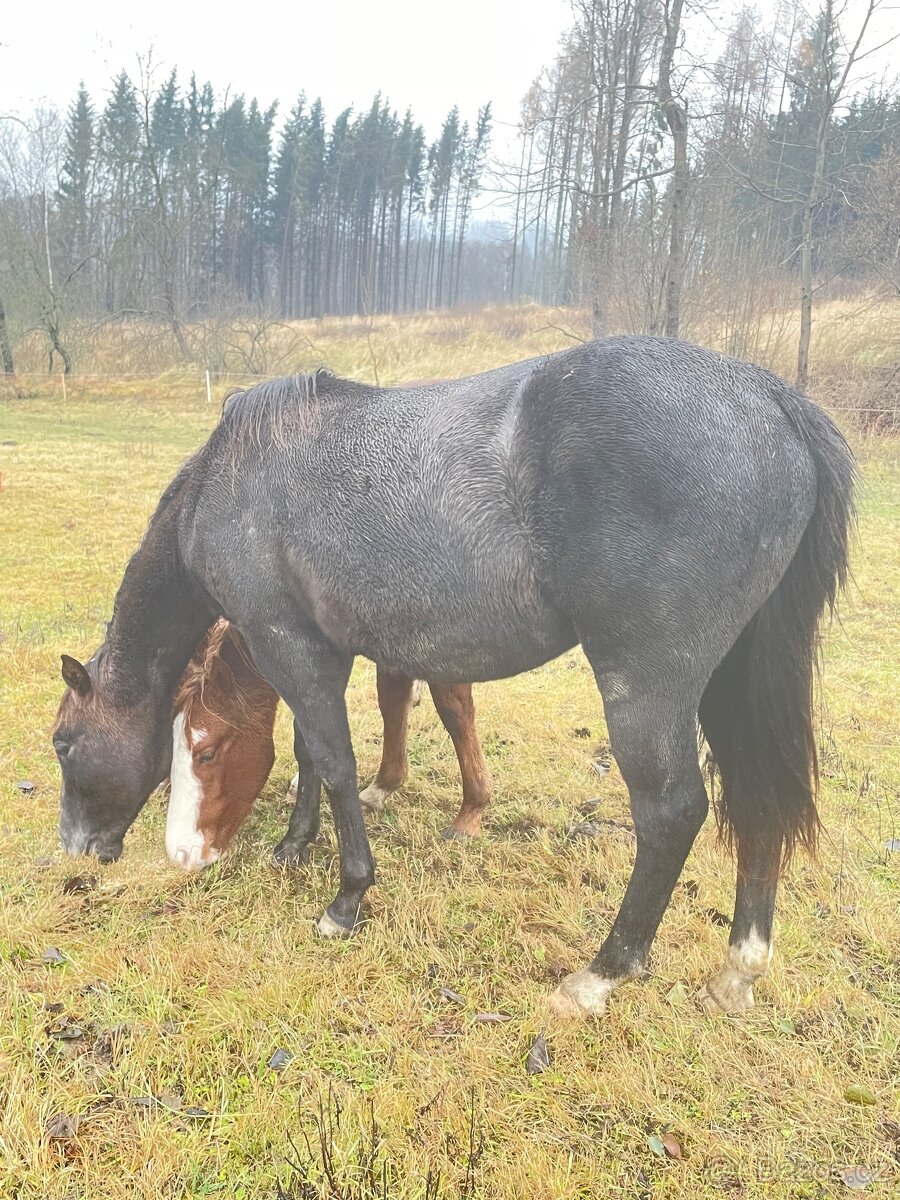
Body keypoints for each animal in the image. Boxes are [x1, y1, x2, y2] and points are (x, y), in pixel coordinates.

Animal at [166, 620, 491, 870]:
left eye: (207, 754)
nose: (182, 853)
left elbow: (454, 710)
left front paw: (470, 813)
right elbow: (390, 699)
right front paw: (383, 786)